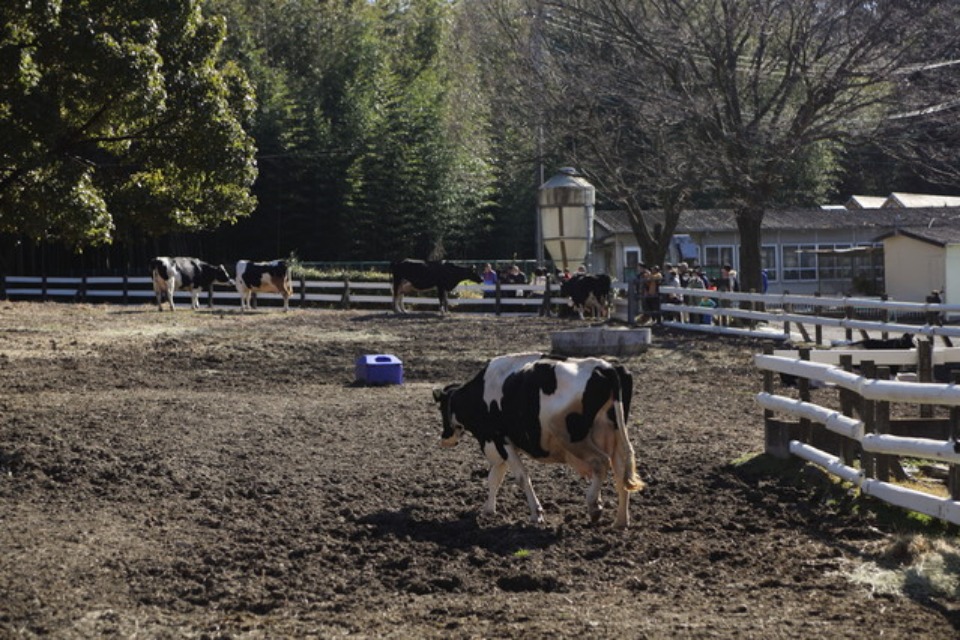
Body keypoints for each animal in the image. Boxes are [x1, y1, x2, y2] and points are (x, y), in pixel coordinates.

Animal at [434, 352, 644, 528]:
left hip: (574, 439)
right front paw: (488, 510)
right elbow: (495, 477)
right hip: (614, 436)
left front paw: (537, 514)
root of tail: (603, 367)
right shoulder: (499, 444)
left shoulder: (500, 439)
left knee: (600, 462)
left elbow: (520, 476)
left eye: (441, 408)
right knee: (620, 471)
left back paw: (594, 506)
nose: (445, 438)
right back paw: (621, 521)